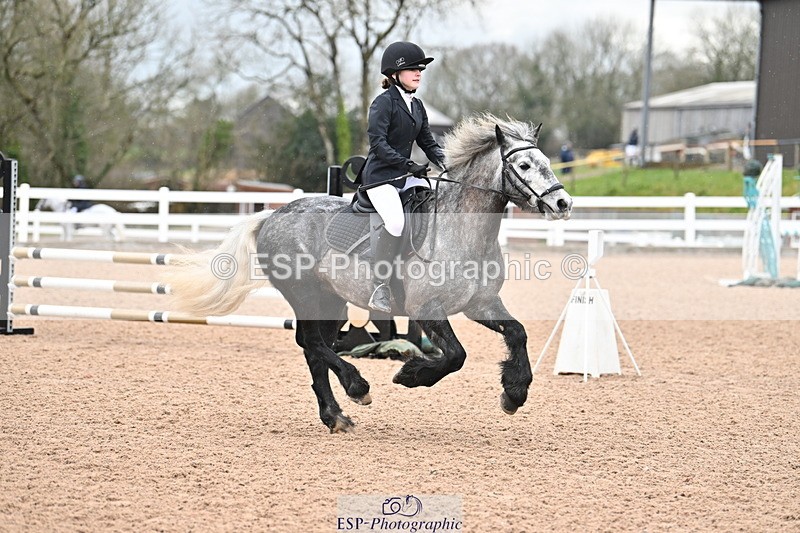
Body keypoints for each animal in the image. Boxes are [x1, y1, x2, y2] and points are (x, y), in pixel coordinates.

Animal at [169, 114, 573, 433]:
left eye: (546, 161)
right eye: (524, 166)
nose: (562, 203)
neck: (464, 231)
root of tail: (273, 214)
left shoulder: (482, 303)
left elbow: (517, 333)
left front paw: (514, 392)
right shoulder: (427, 310)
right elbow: (456, 355)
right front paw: (411, 375)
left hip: (331, 301)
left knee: (314, 349)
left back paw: (335, 416)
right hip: (305, 294)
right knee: (312, 343)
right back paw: (357, 388)